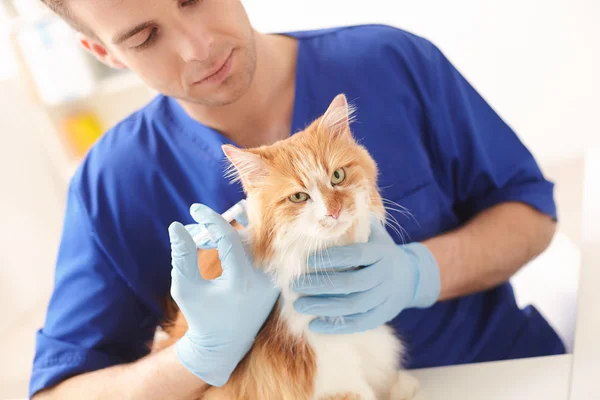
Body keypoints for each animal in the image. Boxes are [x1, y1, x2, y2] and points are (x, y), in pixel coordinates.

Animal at [152, 94, 420, 400]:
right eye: (299, 197)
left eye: (337, 176)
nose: (334, 210)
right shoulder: (329, 368)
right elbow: (358, 389)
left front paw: (401, 385)